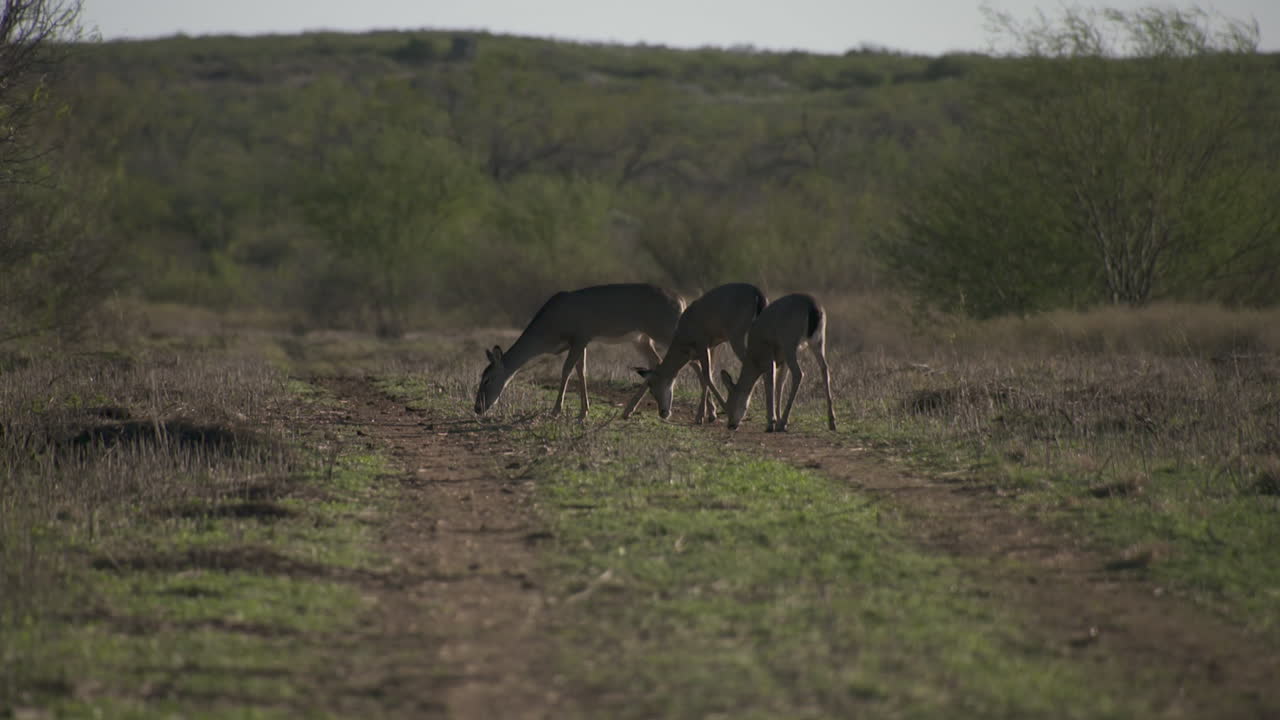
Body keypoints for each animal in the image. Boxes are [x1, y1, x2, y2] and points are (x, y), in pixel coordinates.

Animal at [474, 283, 685, 419]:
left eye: (488, 379)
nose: (477, 408)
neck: (549, 331)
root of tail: (681, 300)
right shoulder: (581, 341)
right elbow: (581, 370)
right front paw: (584, 411)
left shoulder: (581, 335)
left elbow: (567, 369)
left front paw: (556, 411)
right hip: (641, 338)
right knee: (656, 364)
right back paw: (631, 410)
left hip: (665, 330)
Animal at [621, 283, 766, 423]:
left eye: (652, 386)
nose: (662, 413)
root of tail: (757, 293)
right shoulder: (711, 347)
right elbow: (707, 375)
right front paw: (708, 415)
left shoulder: (702, 345)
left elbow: (706, 376)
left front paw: (706, 415)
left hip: (737, 337)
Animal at [720, 293, 837, 433]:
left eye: (728, 404)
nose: (730, 425)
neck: (754, 358)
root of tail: (814, 308)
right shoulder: (781, 359)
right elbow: (780, 383)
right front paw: (777, 418)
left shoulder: (768, 355)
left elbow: (770, 382)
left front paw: (772, 422)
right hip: (818, 341)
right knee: (825, 369)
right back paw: (832, 422)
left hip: (789, 342)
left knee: (799, 373)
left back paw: (783, 422)